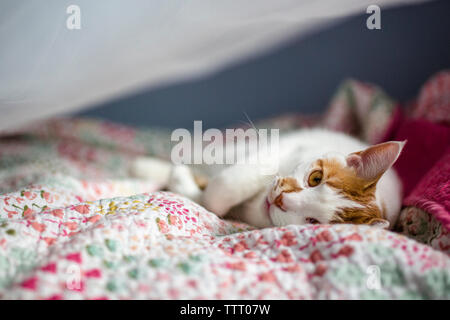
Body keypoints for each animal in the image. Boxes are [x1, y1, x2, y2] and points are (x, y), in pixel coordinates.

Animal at [132, 127, 406, 230]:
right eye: (315, 178)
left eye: (313, 221)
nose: (282, 200)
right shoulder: (282, 147)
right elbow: (227, 184)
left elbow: (212, 198)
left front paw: (189, 187)